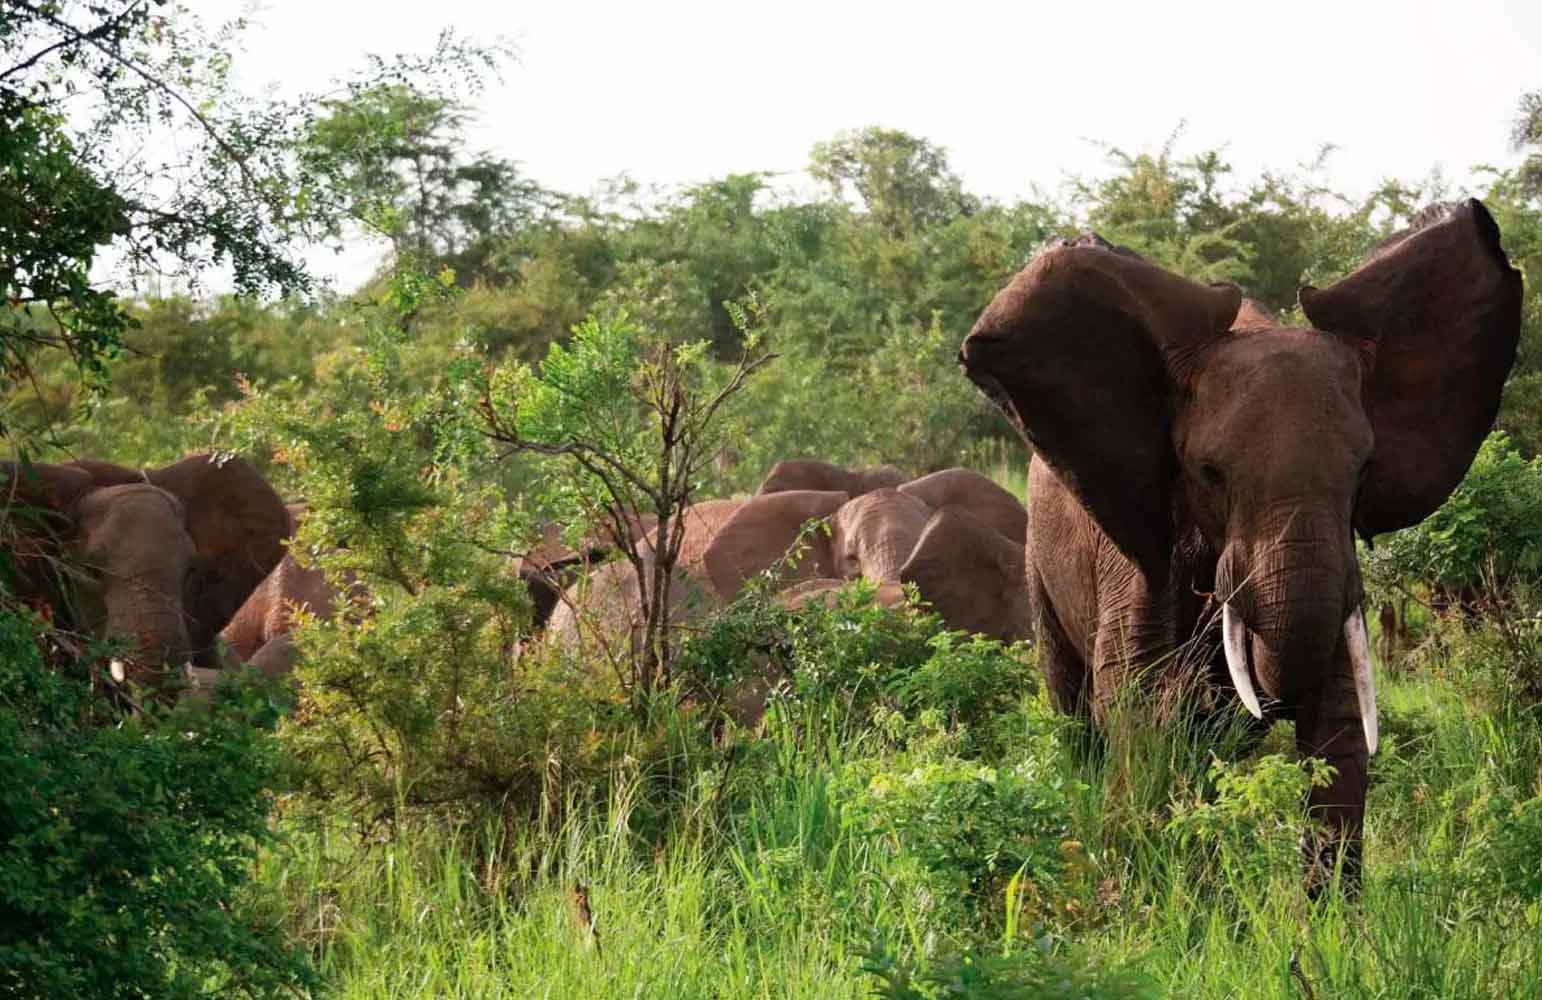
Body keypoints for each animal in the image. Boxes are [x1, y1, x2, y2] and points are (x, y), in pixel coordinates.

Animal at [956, 198, 1523, 887]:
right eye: (1209, 473)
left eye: (1363, 471)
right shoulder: (1139, 547)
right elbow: (1139, 701)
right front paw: (1171, 888)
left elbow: (1339, 715)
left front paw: (1328, 913)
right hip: (1039, 561)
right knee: (1076, 711)